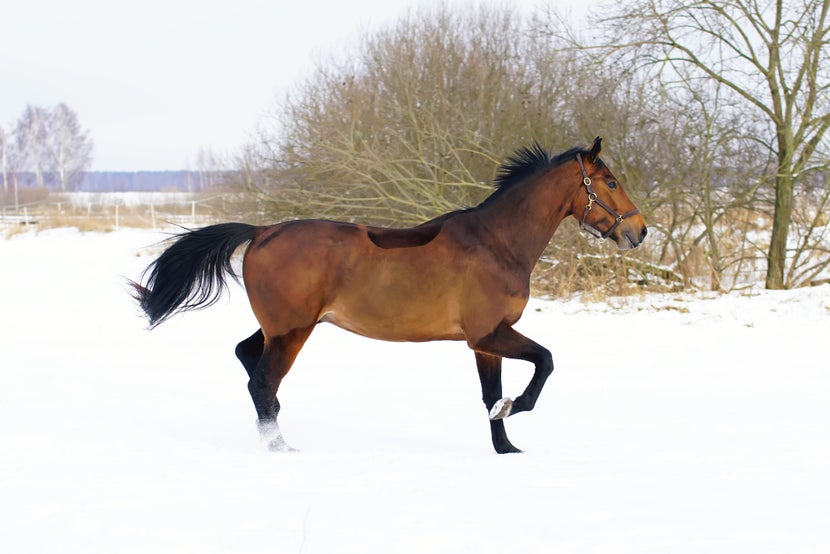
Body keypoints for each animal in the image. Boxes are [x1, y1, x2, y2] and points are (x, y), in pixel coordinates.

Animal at [132, 136, 648, 450]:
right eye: (611, 182)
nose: (639, 232)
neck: (497, 243)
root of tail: (262, 232)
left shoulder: (484, 343)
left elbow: (490, 396)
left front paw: (507, 448)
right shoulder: (488, 333)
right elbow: (544, 362)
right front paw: (517, 408)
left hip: (279, 328)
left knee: (248, 360)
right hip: (292, 331)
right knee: (262, 381)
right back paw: (280, 447)